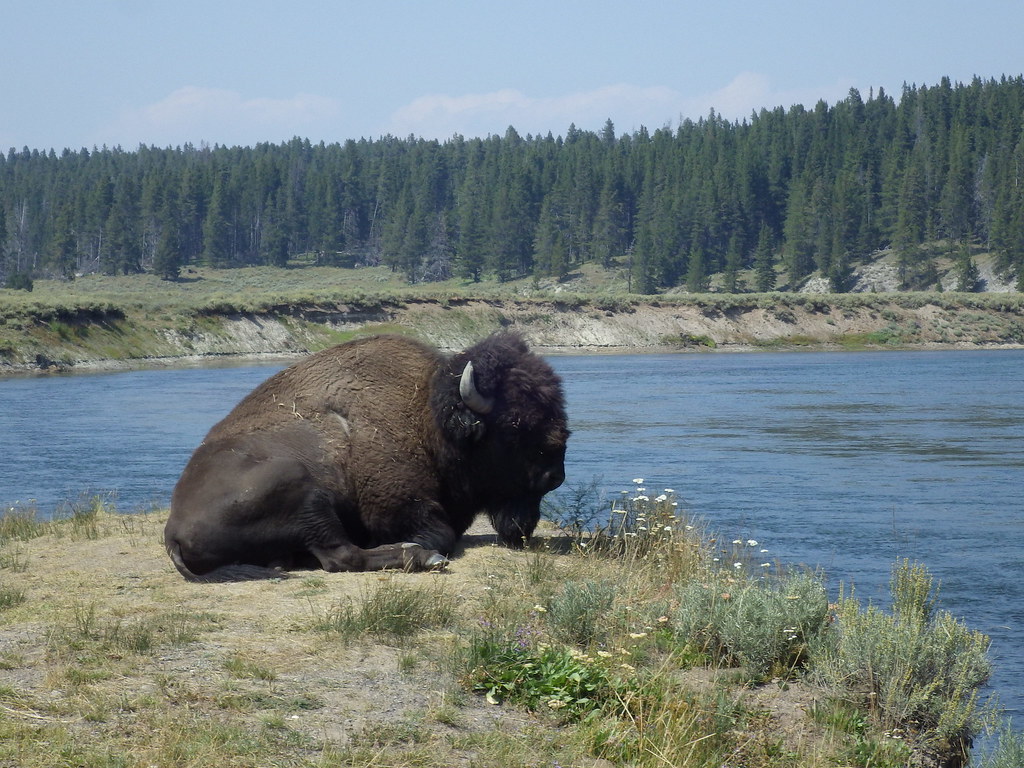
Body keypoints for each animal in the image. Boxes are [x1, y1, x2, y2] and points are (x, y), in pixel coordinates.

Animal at [164, 331, 568, 581]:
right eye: (515, 425)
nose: (555, 475)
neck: (425, 415)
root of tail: (172, 528)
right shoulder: (400, 507)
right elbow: (440, 534)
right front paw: (423, 548)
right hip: (298, 484)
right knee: (341, 556)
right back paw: (419, 557)